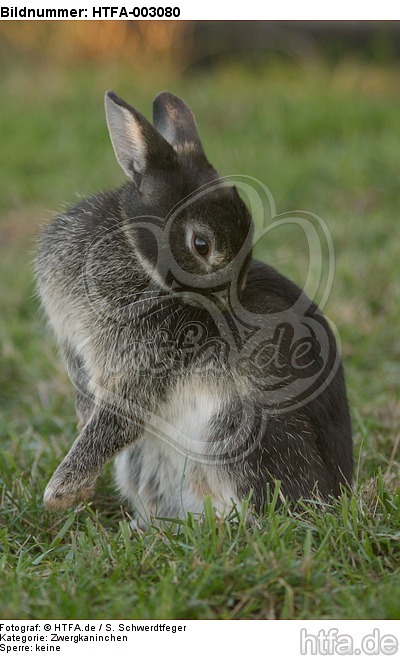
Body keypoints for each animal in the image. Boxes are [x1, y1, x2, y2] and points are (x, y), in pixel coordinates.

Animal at [36, 90, 353, 525]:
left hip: (237, 432)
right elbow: (91, 404)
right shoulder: (72, 341)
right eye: (201, 245)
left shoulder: (143, 368)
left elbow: (116, 421)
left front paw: (61, 492)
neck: (137, 256)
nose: (230, 308)